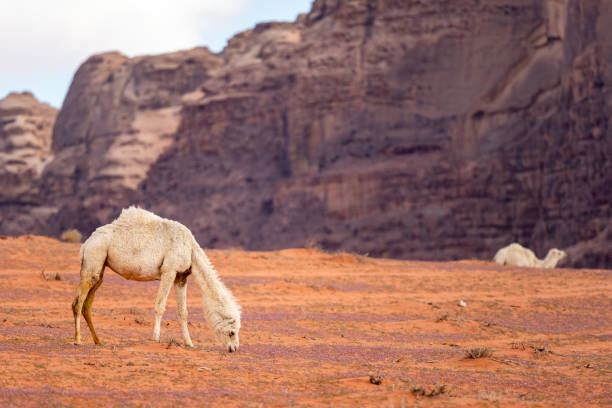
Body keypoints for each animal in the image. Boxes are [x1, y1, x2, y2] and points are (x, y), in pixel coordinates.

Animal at [72, 207, 241, 350]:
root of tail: (86, 243)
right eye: (232, 332)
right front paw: (156, 338)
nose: (234, 348)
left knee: (87, 304)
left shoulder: (181, 277)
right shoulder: (169, 271)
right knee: (78, 303)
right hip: (93, 258)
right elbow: (160, 307)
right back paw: (78, 340)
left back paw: (98, 341)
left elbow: (183, 312)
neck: (190, 248)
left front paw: (189, 343)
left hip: (100, 269)